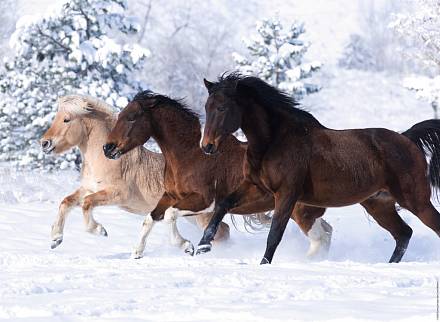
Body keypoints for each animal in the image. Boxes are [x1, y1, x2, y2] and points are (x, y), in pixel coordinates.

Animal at [40, 93, 230, 256]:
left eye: (66, 119)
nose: (44, 143)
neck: (106, 160)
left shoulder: (118, 194)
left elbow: (86, 204)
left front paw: (100, 230)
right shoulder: (88, 188)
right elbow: (66, 202)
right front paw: (56, 239)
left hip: (201, 214)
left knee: (223, 231)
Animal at [104, 90, 340, 256]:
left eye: (132, 117)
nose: (108, 148)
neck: (190, 154)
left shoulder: (204, 201)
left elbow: (170, 215)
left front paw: (187, 246)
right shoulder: (170, 195)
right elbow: (150, 218)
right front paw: (136, 253)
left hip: (300, 211)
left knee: (321, 237)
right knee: (326, 232)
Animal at [199, 73, 440, 264]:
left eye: (222, 107)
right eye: (206, 107)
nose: (207, 146)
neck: (274, 141)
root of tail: (406, 138)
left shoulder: (286, 194)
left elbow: (274, 234)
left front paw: (263, 265)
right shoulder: (257, 188)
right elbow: (223, 205)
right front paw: (202, 246)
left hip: (415, 200)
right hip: (379, 204)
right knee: (403, 234)